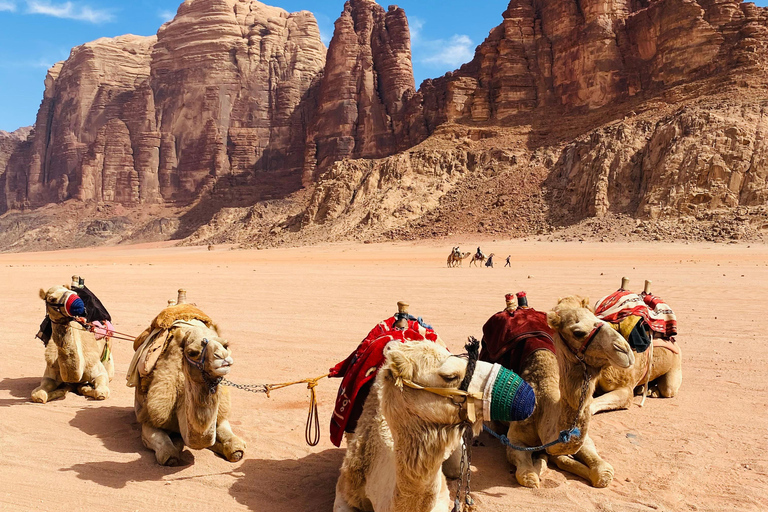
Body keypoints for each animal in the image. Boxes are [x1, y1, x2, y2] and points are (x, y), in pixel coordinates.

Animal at [127, 302, 244, 466]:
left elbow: (235, 448)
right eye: (192, 353)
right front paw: (176, 444)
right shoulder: (150, 420)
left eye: (226, 345)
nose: (222, 357)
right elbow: (168, 453)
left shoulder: (221, 418)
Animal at [500, 298, 632, 490]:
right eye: (578, 333)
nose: (625, 351)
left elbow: (603, 472)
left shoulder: (582, 440)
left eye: (602, 320)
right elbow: (528, 476)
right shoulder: (514, 441)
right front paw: (540, 462)